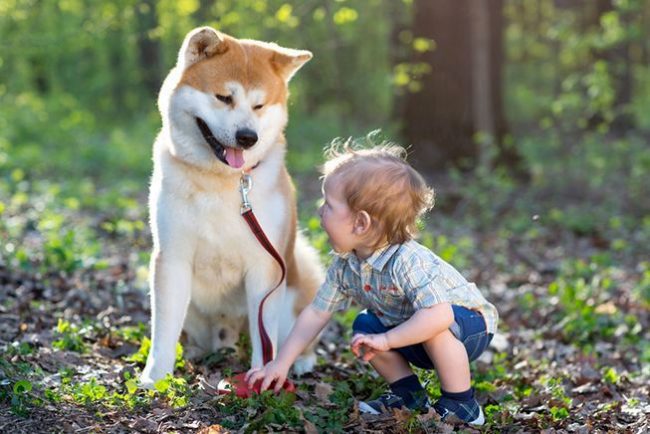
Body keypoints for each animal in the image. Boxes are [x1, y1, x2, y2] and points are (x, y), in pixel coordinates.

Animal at [142, 27, 324, 386]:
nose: (247, 137)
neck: (222, 182)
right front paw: (156, 378)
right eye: (224, 97)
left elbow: (265, 338)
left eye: (259, 105)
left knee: (295, 339)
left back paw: (300, 363)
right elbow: (164, 331)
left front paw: (264, 376)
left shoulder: (266, 266)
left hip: (296, 287)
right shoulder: (171, 259)